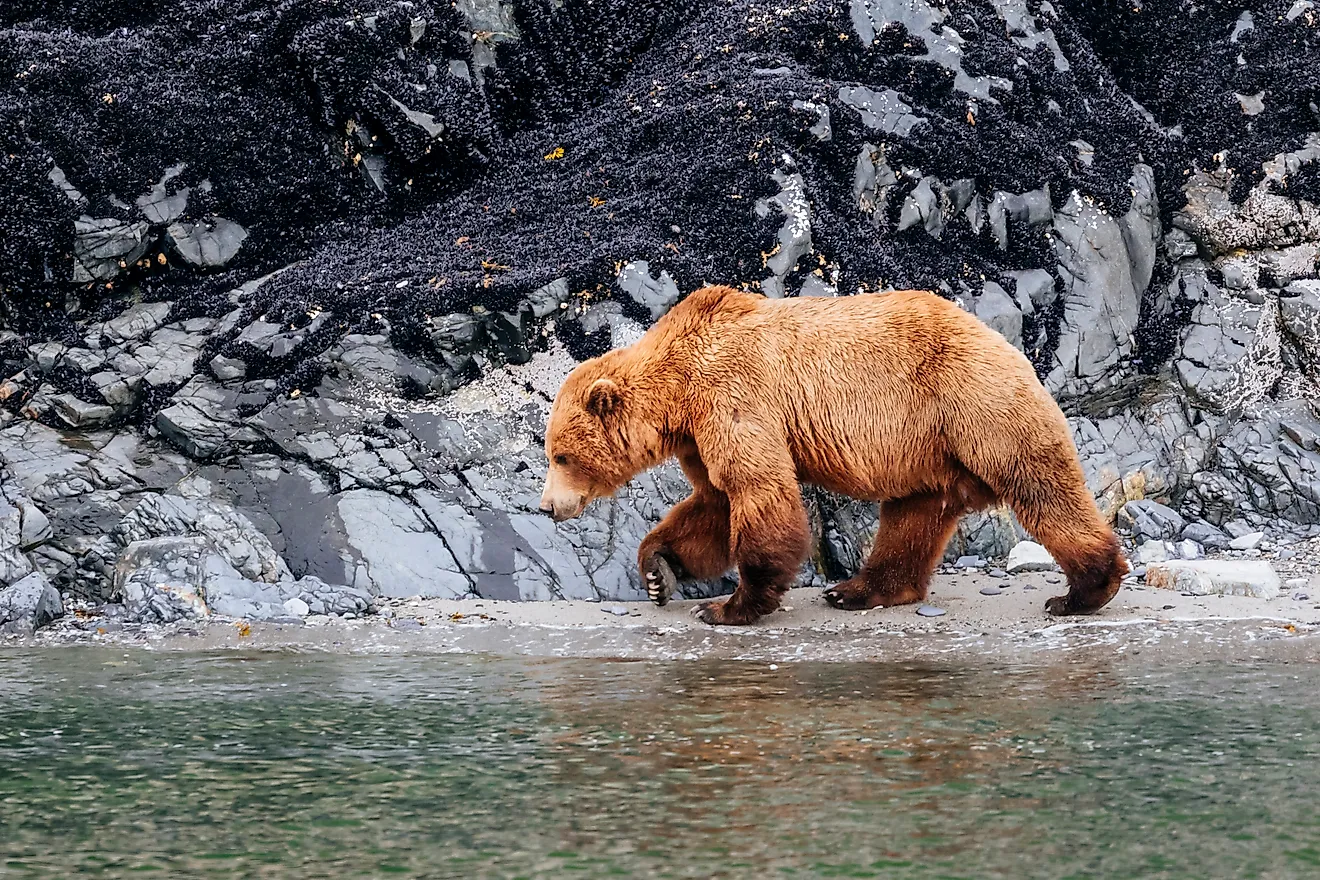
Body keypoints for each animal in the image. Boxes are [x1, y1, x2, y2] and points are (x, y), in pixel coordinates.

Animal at [539, 284, 1127, 626]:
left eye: (561, 456)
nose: (547, 507)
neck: (678, 391)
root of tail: (1005, 340)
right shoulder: (699, 436)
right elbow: (714, 503)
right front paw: (659, 569)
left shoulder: (733, 396)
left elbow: (757, 491)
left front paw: (729, 605)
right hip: (926, 449)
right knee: (913, 516)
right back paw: (858, 590)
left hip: (973, 402)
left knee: (1038, 484)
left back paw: (1082, 591)